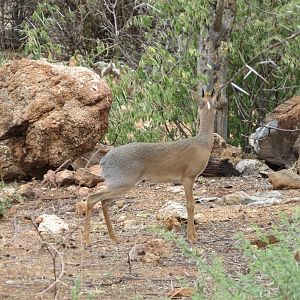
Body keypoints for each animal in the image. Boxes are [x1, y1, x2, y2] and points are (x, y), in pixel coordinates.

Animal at [84, 89, 218, 244]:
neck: (202, 143)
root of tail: (104, 160)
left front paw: (194, 235)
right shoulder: (187, 178)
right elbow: (190, 204)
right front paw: (191, 237)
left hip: (120, 187)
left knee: (103, 201)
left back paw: (113, 237)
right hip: (121, 184)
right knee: (92, 198)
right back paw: (86, 240)